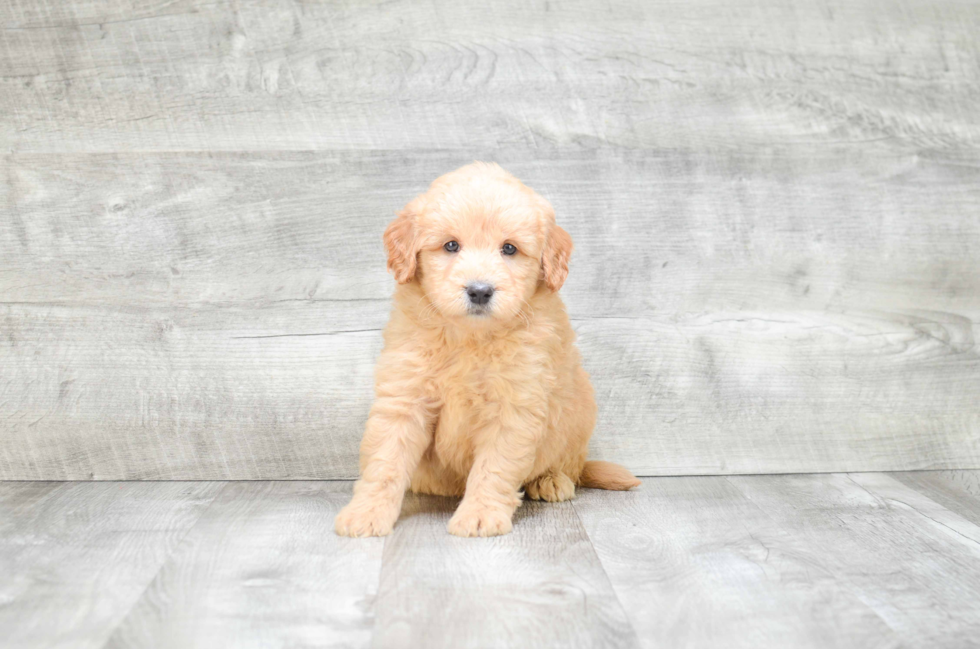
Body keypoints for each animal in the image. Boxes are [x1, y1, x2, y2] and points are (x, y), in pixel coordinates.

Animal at [334, 161, 644, 536]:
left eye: (509, 249)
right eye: (451, 245)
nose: (480, 291)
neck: (470, 338)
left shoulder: (514, 405)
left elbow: (494, 467)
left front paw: (480, 514)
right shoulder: (404, 395)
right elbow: (385, 460)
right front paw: (366, 513)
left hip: (578, 415)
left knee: (569, 463)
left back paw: (550, 479)